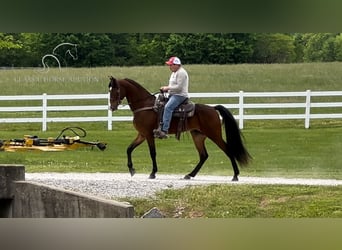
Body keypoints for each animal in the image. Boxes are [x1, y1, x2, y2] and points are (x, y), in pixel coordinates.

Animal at [108, 76, 252, 182]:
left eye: (115, 90)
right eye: (109, 90)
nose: (111, 107)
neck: (145, 106)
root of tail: (212, 108)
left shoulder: (148, 135)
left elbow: (152, 153)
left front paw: (153, 173)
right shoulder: (142, 135)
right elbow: (129, 149)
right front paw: (131, 170)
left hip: (214, 135)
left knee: (228, 150)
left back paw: (235, 175)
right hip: (198, 136)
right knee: (203, 155)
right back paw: (190, 175)